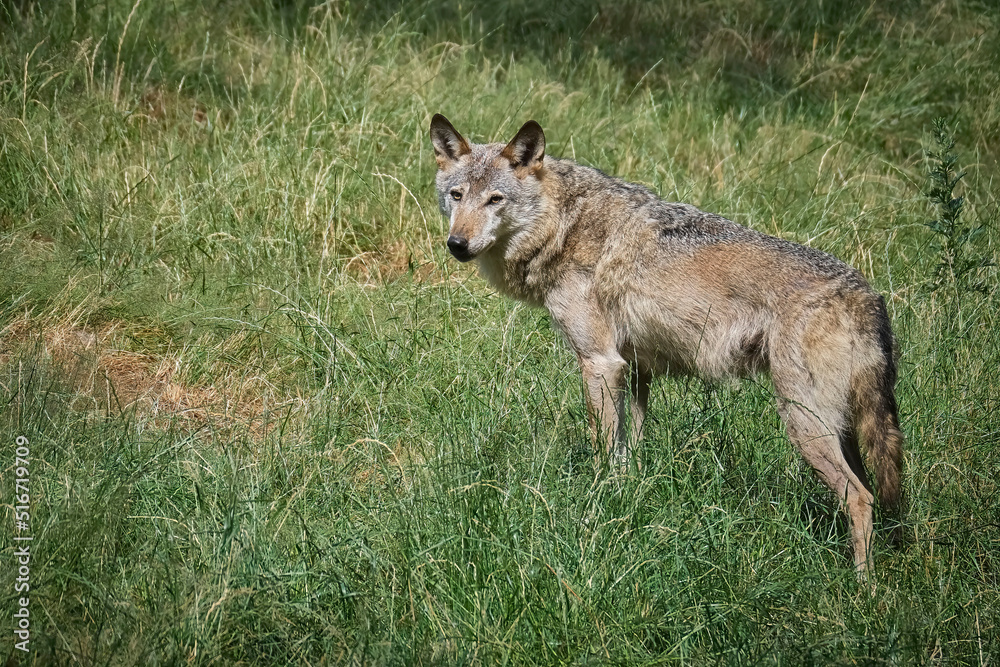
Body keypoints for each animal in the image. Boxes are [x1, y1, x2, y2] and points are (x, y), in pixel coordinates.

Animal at [429, 113, 903, 573]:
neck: (563, 224)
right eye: (456, 196)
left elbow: (606, 452)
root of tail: (865, 294)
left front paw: (601, 505)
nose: (456, 244)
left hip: (802, 421)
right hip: (841, 428)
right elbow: (632, 448)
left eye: (495, 200)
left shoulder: (600, 363)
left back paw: (862, 587)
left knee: (860, 498)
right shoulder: (636, 368)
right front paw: (632, 497)